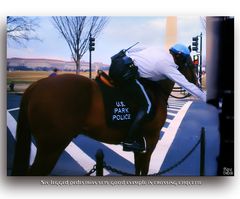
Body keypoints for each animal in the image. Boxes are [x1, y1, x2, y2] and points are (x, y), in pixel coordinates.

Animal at [12, 58, 198, 176]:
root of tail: (36, 85)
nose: (197, 82)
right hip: (51, 148)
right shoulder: (150, 141)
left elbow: (138, 170)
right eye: (191, 63)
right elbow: (143, 170)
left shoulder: (140, 147)